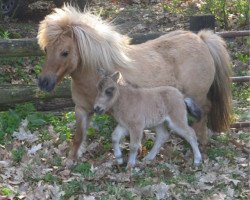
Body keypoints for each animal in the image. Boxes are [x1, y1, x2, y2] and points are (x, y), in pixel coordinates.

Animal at [37, 5, 232, 160]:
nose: (43, 83)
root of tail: (201, 39)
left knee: (203, 113)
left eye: (65, 52)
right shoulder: (82, 110)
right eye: (46, 49)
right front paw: (71, 160)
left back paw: (201, 142)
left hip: (196, 95)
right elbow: (78, 136)